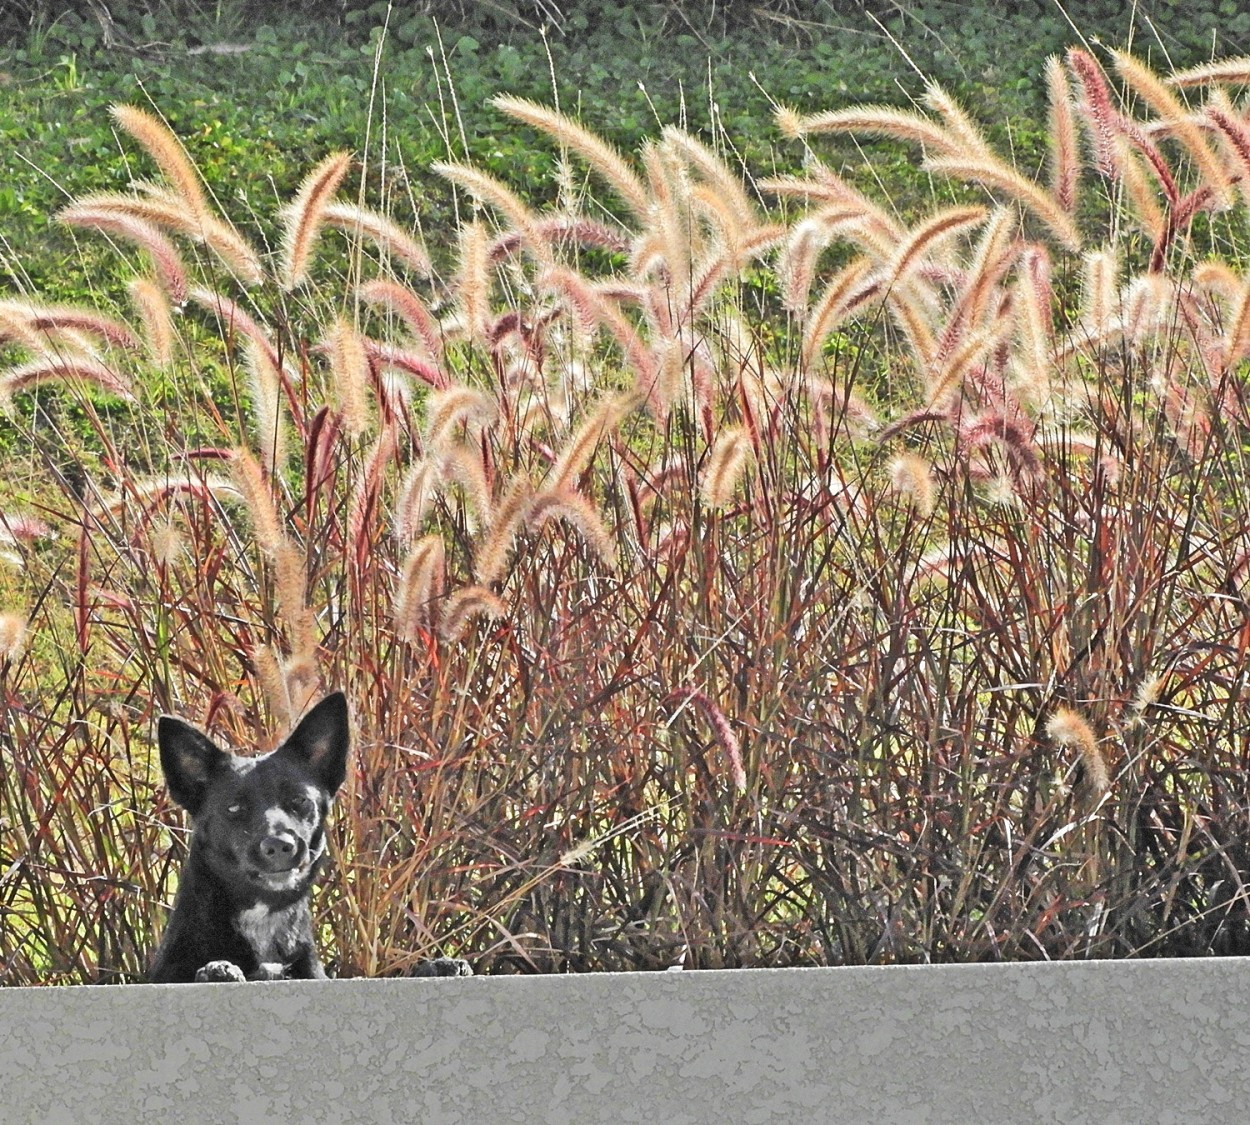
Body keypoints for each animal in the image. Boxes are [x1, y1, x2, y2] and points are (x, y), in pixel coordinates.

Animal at [150, 690, 470, 980]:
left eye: (300, 800)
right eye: (233, 808)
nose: (280, 846)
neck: (264, 919)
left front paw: (435, 966)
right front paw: (218, 969)